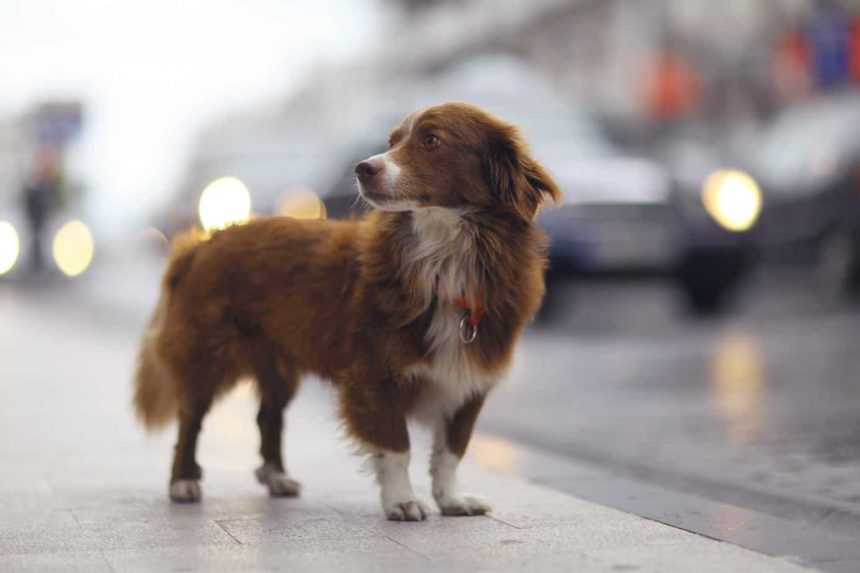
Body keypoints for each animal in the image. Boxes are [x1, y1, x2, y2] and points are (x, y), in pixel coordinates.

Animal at [131, 101, 560, 520]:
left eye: (432, 140)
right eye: (391, 141)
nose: (363, 168)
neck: (445, 258)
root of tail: (200, 242)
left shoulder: (469, 377)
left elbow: (452, 451)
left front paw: (452, 499)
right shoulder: (375, 374)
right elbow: (397, 446)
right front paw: (402, 501)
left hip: (277, 362)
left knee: (268, 417)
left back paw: (277, 478)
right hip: (208, 352)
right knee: (191, 418)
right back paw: (183, 482)